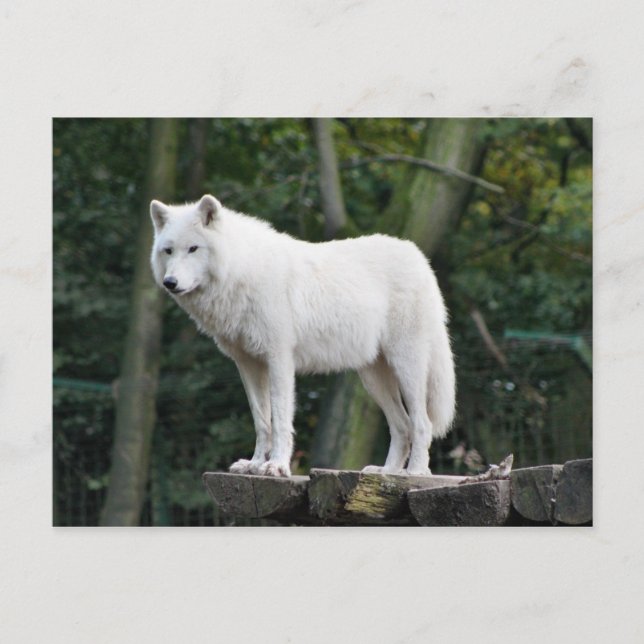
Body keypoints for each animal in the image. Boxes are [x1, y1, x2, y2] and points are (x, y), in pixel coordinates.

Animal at [150, 194, 455, 477]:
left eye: (193, 248)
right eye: (168, 251)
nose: (170, 283)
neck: (241, 271)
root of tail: (419, 257)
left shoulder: (279, 360)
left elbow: (280, 419)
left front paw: (276, 466)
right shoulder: (248, 364)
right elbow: (262, 420)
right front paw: (255, 464)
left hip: (407, 368)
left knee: (422, 423)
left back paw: (415, 472)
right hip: (373, 378)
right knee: (402, 426)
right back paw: (386, 473)